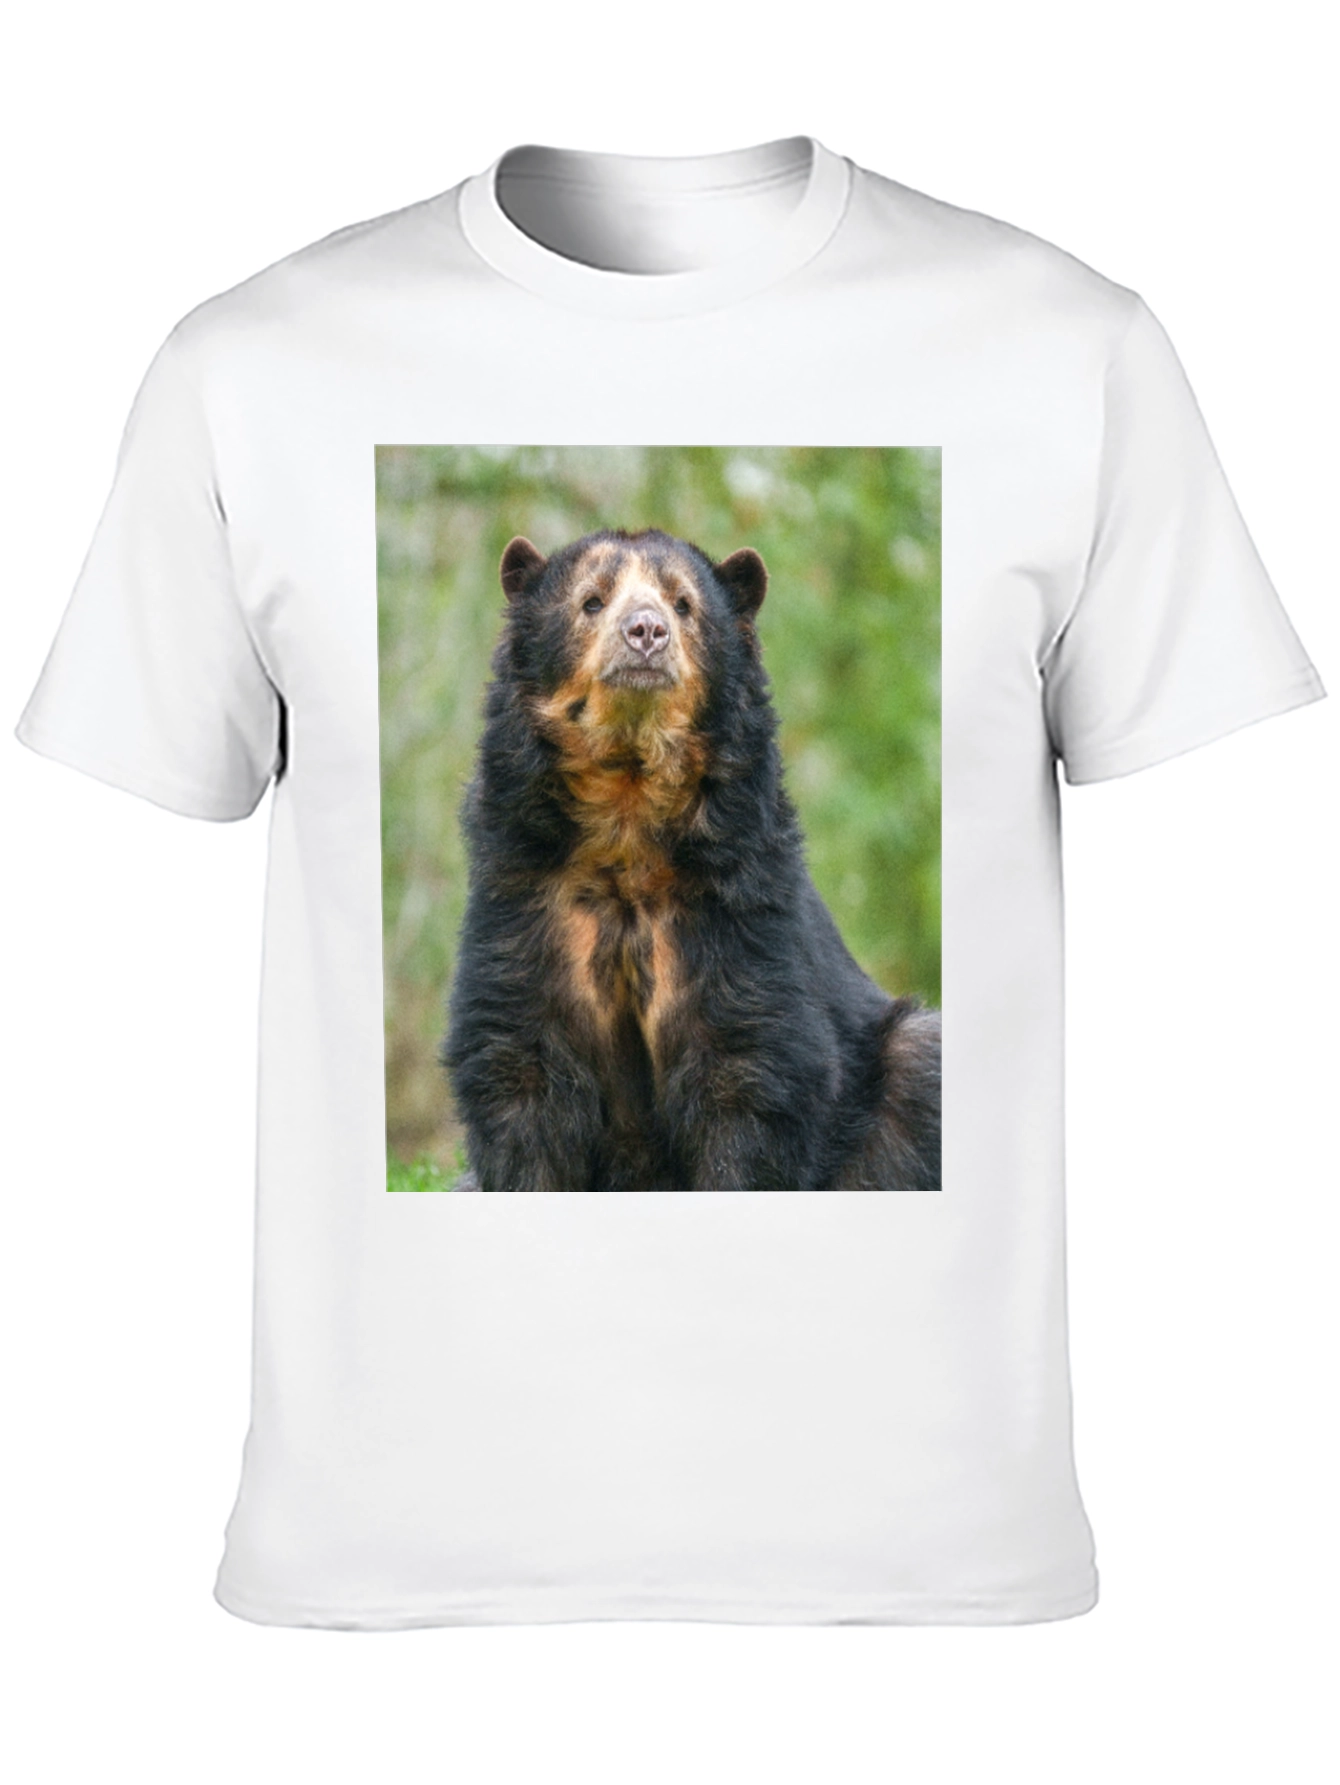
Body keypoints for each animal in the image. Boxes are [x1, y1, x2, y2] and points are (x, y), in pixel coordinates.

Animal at [441, 526, 940, 1193]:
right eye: (592, 600)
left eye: (683, 604)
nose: (646, 631)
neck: (628, 814)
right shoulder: (525, 889)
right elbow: (520, 1068)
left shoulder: (737, 900)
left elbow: (748, 1069)